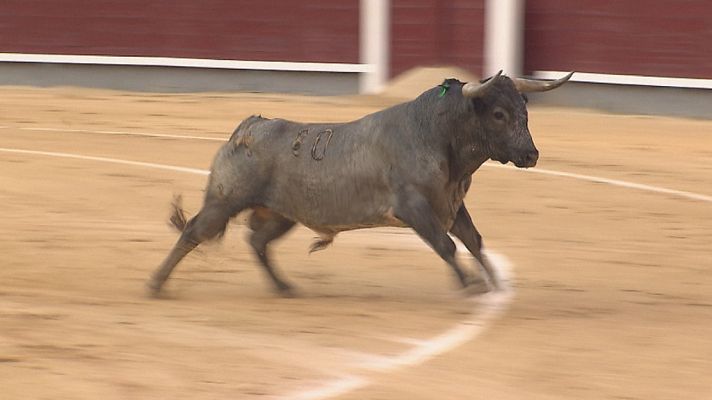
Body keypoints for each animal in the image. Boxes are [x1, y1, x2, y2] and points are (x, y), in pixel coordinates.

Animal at [146, 71, 572, 296]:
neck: (436, 135)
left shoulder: (452, 204)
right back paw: (156, 282)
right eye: (499, 114)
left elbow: (473, 241)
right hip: (224, 201)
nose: (531, 155)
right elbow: (447, 245)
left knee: (257, 241)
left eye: (524, 111)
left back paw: (284, 287)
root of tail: (248, 128)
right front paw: (469, 285)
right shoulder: (415, 208)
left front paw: (495, 285)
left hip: (282, 213)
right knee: (193, 231)